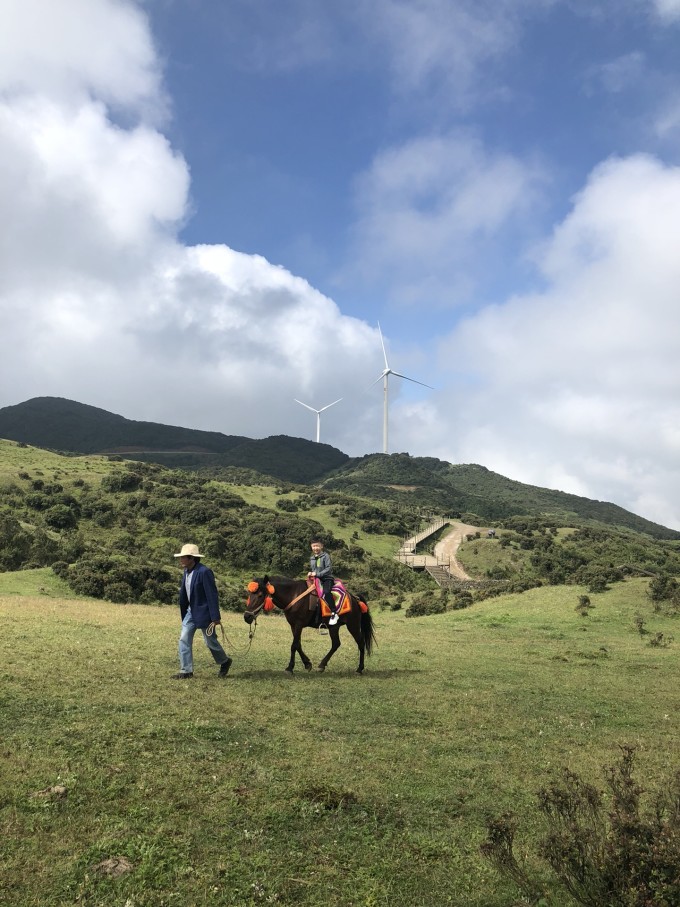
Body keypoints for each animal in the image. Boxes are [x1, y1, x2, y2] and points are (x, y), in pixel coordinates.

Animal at [242, 576, 374, 672]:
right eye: (250, 594)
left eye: (260, 595)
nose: (247, 616)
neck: (293, 594)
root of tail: (355, 599)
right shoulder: (293, 625)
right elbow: (298, 644)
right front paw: (307, 664)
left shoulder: (299, 624)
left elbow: (294, 645)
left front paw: (290, 667)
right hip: (334, 627)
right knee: (336, 644)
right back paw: (322, 665)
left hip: (353, 625)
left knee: (360, 643)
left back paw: (360, 668)